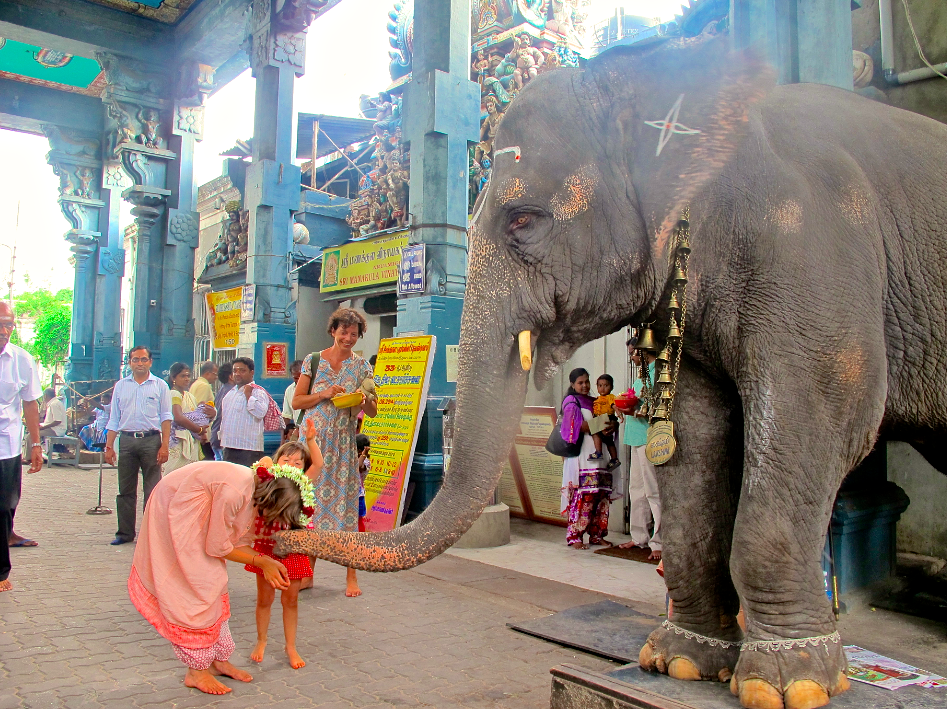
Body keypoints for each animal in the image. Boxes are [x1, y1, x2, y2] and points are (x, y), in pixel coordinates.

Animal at [278, 37, 947, 708]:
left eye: (523, 219)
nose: (281, 534)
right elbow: (695, 433)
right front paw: (680, 664)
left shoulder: (811, 248)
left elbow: (830, 411)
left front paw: (789, 684)